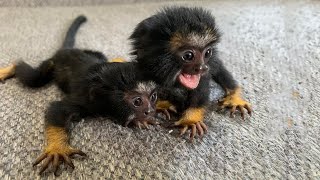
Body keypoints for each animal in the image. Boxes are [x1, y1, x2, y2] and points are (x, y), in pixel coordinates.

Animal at [0, 15, 159, 176]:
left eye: (153, 97)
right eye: (137, 101)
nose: (150, 110)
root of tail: (65, 51)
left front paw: (140, 120)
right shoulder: (87, 100)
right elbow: (57, 108)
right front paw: (57, 149)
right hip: (51, 63)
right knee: (34, 79)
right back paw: (12, 68)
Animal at [129, 6, 252, 140]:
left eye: (207, 53)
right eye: (188, 56)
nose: (202, 67)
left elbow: (201, 89)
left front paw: (190, 119)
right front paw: (160, 105)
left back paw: (234, 97)